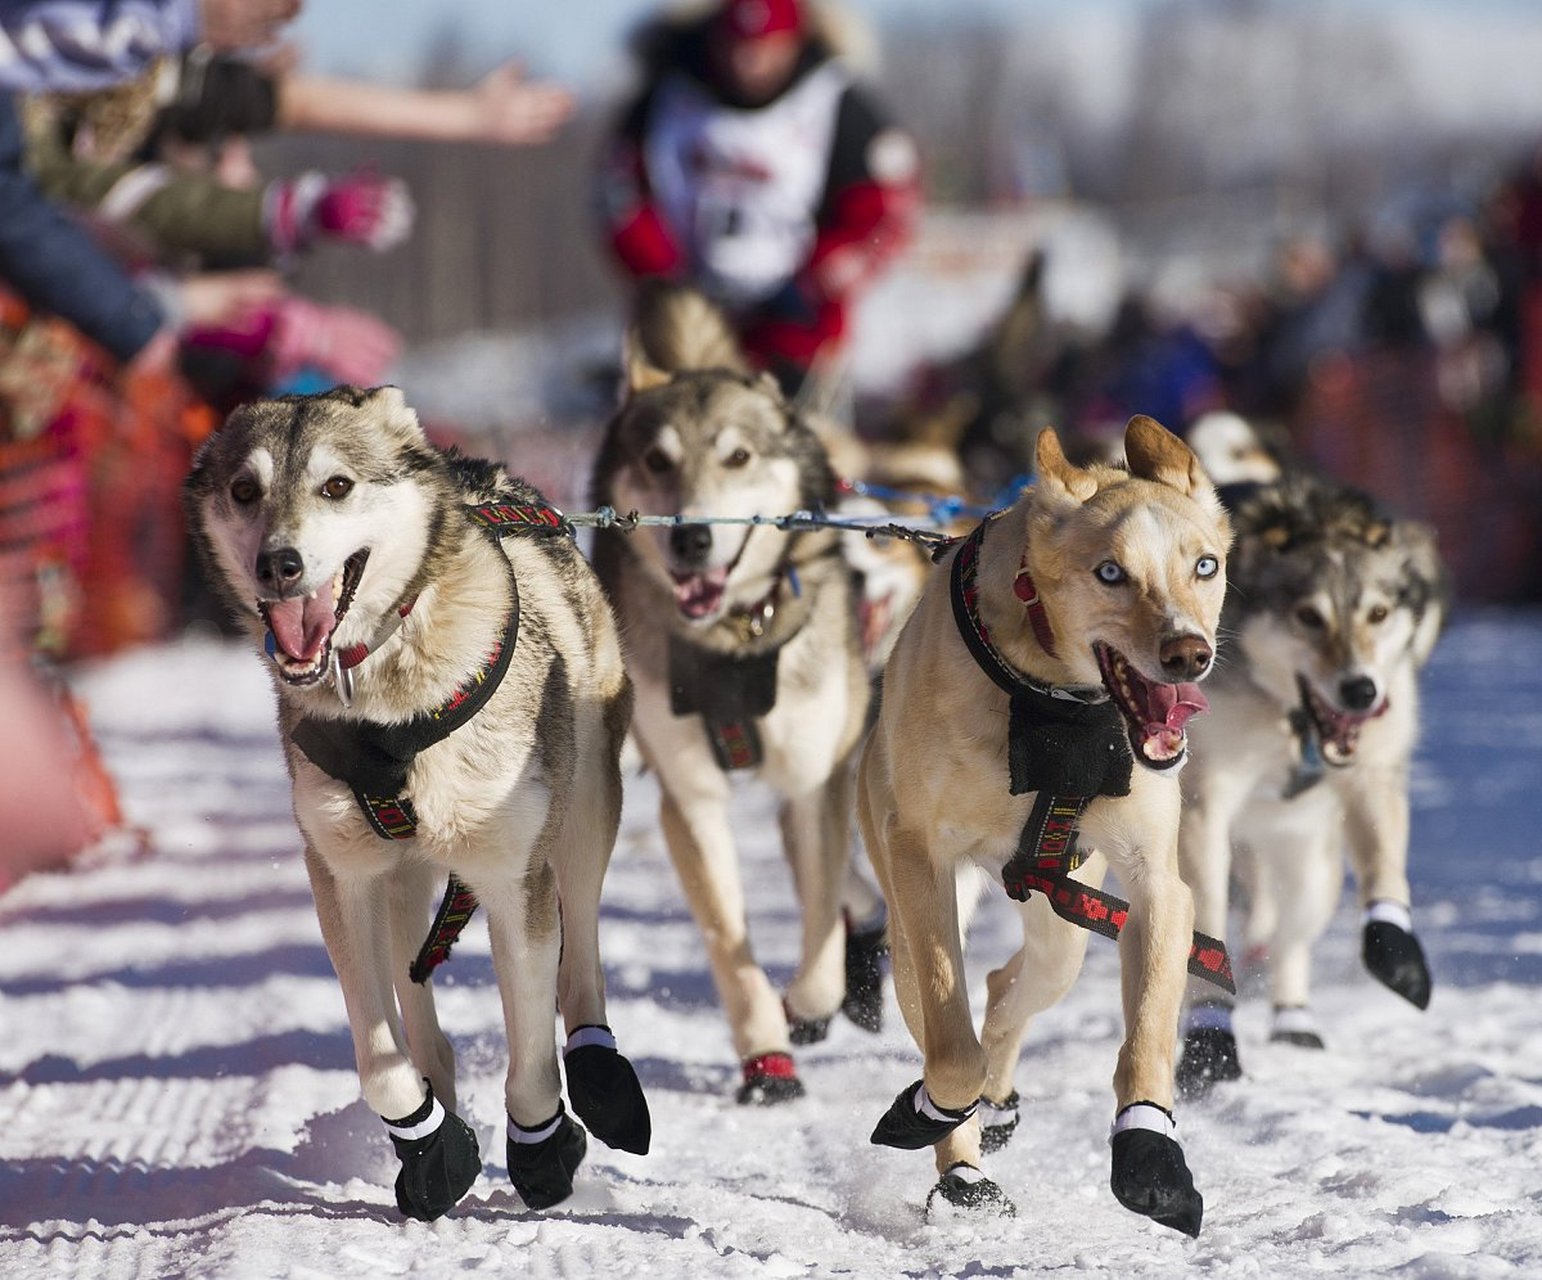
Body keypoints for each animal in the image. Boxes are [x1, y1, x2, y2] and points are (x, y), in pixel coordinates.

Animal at [181, 388, 650, 1221]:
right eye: (244, 490)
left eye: (336, 485)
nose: (278, 563)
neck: (387, 702)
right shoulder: (343, 875)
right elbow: (380, 1061)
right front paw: (432, 1146)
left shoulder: (513, 878)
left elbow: (533, 1055)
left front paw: (543, 1147)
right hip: (401, 876)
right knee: (417, 992)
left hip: (588, 806)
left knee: (581, 952)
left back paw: (600, 1076)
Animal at [589, 285, 882, 1110]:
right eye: (657, 460)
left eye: (739, 457)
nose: (691, 538)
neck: (733, 641)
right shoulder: (689, 800)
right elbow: (730, 938)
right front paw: (766, 1057)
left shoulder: (816, 783)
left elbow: (818, 926)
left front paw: (811, 1005)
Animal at [863, 419, 1233, 1233]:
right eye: (1110, 573)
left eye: (1205, 564)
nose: (1189, 653)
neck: (1056, 703)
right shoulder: (919, 858)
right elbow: (950, 1048)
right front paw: (934, 1115)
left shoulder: (1157, 886)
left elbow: (1148, 1037)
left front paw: (1151, 1155)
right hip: (911, 913)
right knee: (952, 1018)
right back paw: (963, 1166)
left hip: (1065, 913)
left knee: (1011, 987)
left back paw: (997, 1100)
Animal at [1178, 474, 1443, 1098]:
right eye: (1308, 616)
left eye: (1378, 613)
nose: (1360, 691)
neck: (1293, 720)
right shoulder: (1202, 805)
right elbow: (1206, 938)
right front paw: (1210, 1042)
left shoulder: (1372, 772)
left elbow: (1384, 868)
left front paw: (1396, 950)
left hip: (1308, 866)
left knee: (1291, 940)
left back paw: (1294, 1019)